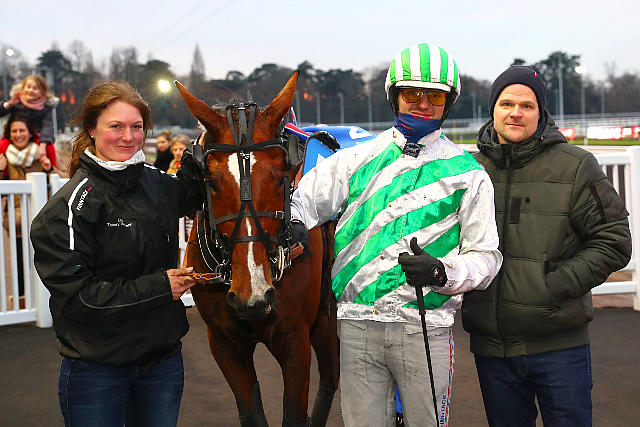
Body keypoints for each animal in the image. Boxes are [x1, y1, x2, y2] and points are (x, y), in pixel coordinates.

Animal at [175, 71, 340, 427]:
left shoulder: (295, 340)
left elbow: (295, 414)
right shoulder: (224, 344)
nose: (253, 296)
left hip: (326, 317)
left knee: (331, 379)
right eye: (212, 182)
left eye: (281, 178)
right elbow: (251, 412)